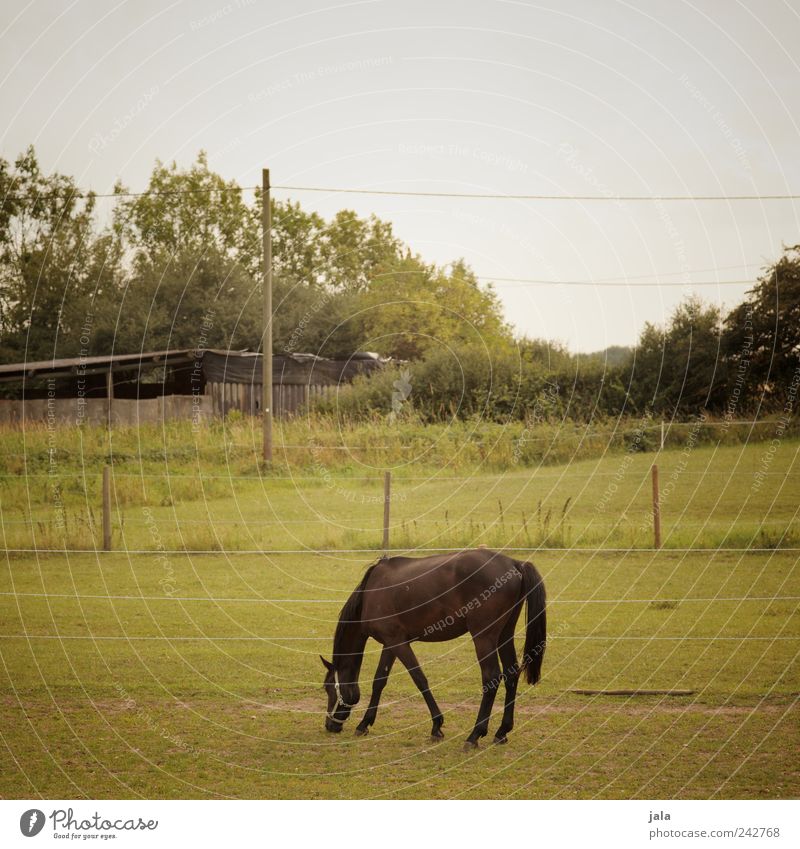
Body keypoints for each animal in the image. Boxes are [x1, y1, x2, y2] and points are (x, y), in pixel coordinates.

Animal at [322, 548, 548, 744]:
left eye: (328, 688)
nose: (330, 725)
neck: (371, 591)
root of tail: (514, 563)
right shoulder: (391, 643)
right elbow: (379, 680)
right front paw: (364, 723)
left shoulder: (398, 643)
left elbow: (419, 678)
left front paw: (436, 725)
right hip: (503, 636)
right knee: (511, 674)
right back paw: (502, 731)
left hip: (484, 638)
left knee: (491, 677)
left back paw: (475, 734)